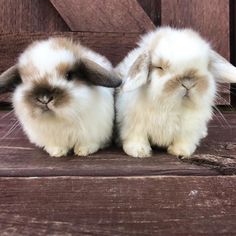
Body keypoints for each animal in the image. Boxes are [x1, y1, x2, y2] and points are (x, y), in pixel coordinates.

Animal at [115, 26, 236, 158]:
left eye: (207, 65)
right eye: (160, 67)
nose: (188, 83)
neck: (170, 106)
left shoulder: (188, 128)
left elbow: (183, 140)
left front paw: (181, 152)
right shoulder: (134, 124)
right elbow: (137, 137)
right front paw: (139, 152)